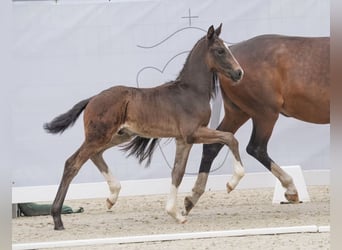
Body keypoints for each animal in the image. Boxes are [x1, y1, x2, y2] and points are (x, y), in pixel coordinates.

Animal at [44, 24, 244, 229]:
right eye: (220, 50)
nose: (239, 73)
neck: (191, 92)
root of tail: (92, 99)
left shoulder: (183, 140)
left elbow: (177, 173)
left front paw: (175, 214)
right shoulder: (192, 134)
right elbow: (230, 138)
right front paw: (232, 183)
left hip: (120, 135)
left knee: (95, 155)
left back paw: (112, 197)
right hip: (99, 136)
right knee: (73, 163)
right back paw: (57, 218)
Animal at [183, 34, 330, 215]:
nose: (237, 73)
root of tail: (234, 52)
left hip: (238, 113)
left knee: (213, 146)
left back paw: (192, 198)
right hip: (265, 114)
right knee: (256, 148)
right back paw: (290, 189)